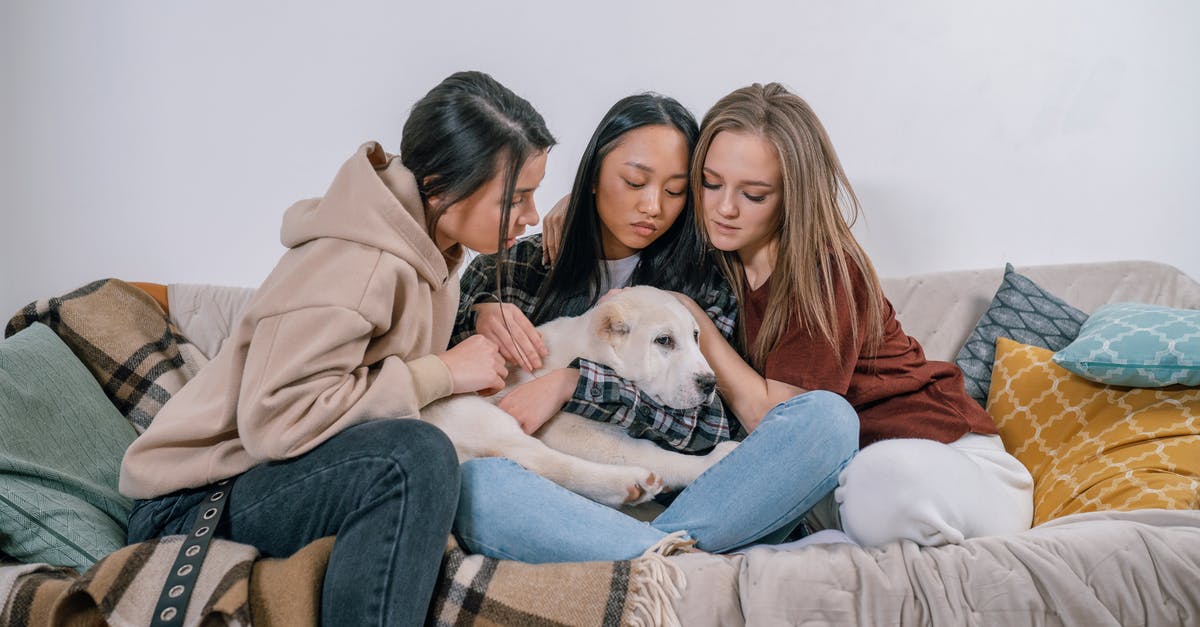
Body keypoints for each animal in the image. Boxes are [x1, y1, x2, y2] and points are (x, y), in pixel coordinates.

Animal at [422, 285, 739, 504]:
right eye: (664, 340)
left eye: (696, 336)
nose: (709, 382)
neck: (591, 352)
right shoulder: (569, 430)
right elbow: (649, 453)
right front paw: (707, 463)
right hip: (475, 413)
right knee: (538, 459)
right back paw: (631, 483)